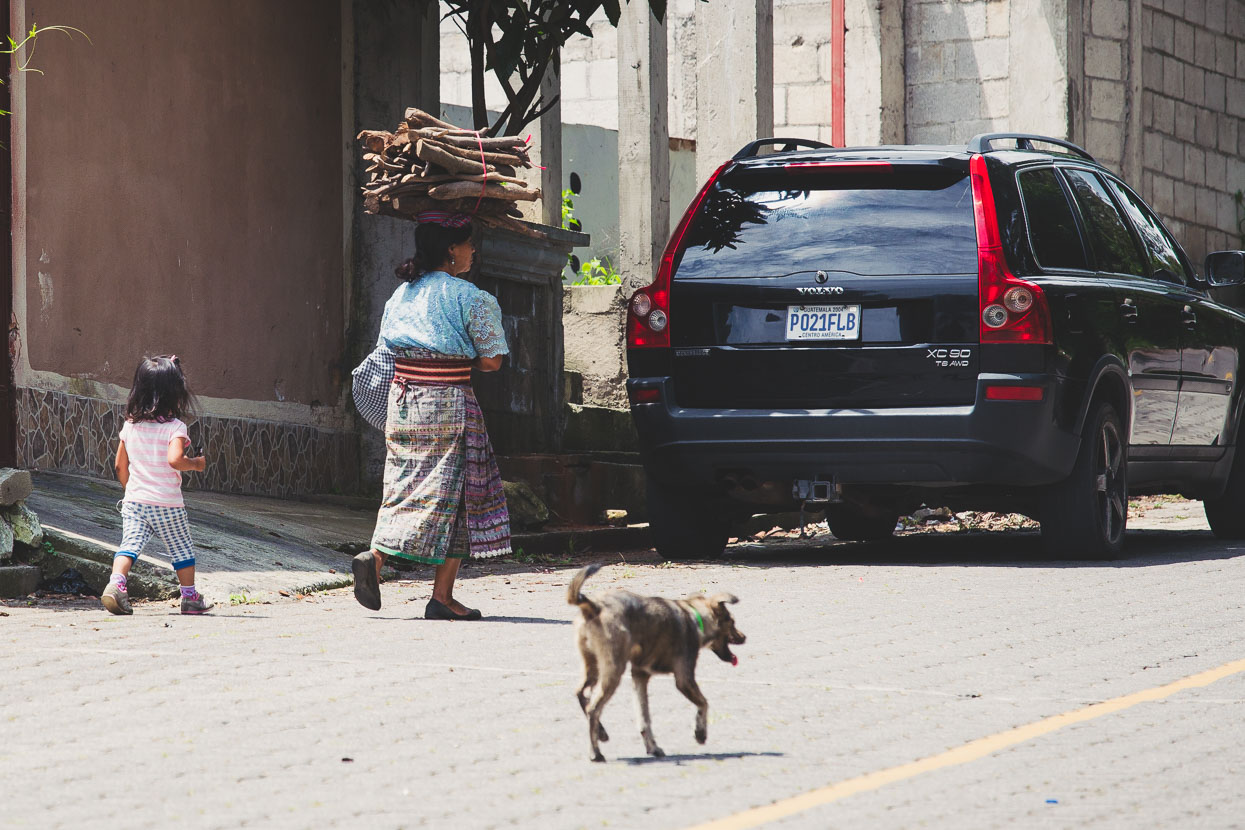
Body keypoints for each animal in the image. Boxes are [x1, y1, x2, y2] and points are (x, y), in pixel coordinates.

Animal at [567, 562, 747, 761]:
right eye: (732, 622)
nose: (744, 637)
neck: (695, 617)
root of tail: (594, 606)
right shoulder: (684, 679)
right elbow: (704, 703)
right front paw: (700, 733)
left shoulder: (640, 676)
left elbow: (644, 718)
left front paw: (652, 747)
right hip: (613, 670)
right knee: (593, 708)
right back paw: (595, 752)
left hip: (593, 667)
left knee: (582, 695)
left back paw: (601, 732)